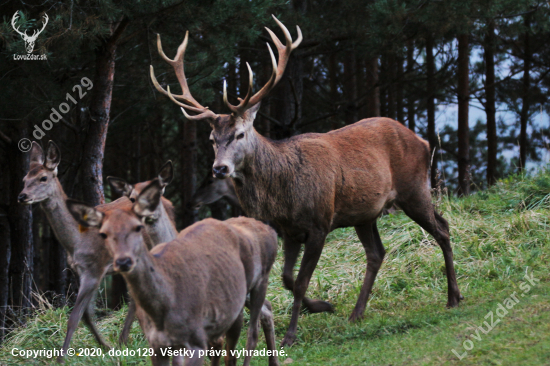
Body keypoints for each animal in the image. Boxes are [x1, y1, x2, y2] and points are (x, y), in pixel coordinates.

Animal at [17, 141, 176, 360]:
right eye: (24, 179)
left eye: (43, 177)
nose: (22, 196)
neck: (76, 240)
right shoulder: (80, 270)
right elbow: (86, 315)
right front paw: (105, 346)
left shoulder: (95, 269)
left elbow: (75, 316)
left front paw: (61, 358)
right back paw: (123, 340)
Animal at [150, 14, 462, 346]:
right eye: (212, 139)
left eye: (240, 134)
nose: (219, 169)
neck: (283, 193)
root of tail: (423, 141)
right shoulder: (289, 230)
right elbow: (287, 278)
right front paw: (324, 306)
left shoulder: (319, 223)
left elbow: (300, 281)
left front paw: (291, 334)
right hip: (365, 213)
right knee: (377, 252)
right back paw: (357, 313)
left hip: (414, 189)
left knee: (442, 228)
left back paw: (453, 297)